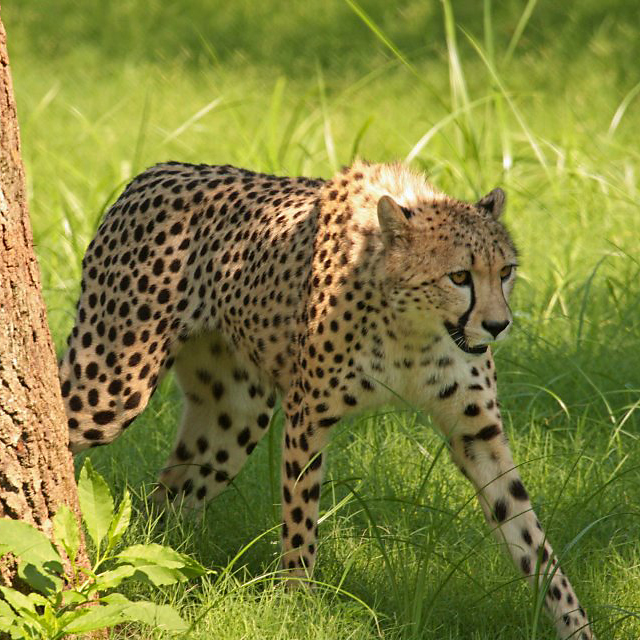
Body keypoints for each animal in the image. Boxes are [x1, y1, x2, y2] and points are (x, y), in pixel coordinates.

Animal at [58, 160, 596, 640]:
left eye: (505, 271)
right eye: (459, 276)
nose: (498, 325)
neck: (413, 329)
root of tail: (157, 171)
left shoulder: (477, 434)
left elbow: (531, 538)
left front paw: (575, 624)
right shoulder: (307, 417)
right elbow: (301, 522)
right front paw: (297, 606)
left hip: (236, 414)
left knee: (168, 494)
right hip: (113, 384)